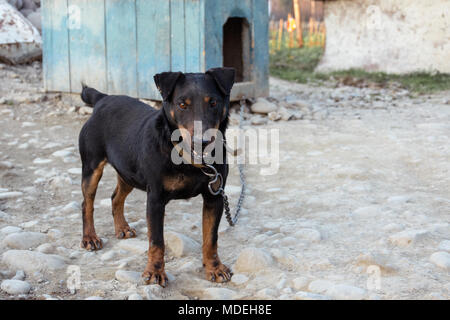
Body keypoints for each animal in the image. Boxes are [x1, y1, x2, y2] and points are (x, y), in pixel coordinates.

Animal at [77, 67, 236, 288]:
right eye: (182, 104)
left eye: (213, 102)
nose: (202, 142)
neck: (187, 158)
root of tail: (103, 98)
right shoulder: (155, 199)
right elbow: (156, 240)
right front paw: (154, 272)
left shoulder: (214, 197)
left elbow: (211, 238)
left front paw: (215, 268)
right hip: (92, 168)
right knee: (87, 203)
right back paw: (90, 238)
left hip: (127, 173)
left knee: (116, 197)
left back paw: (122, 228)